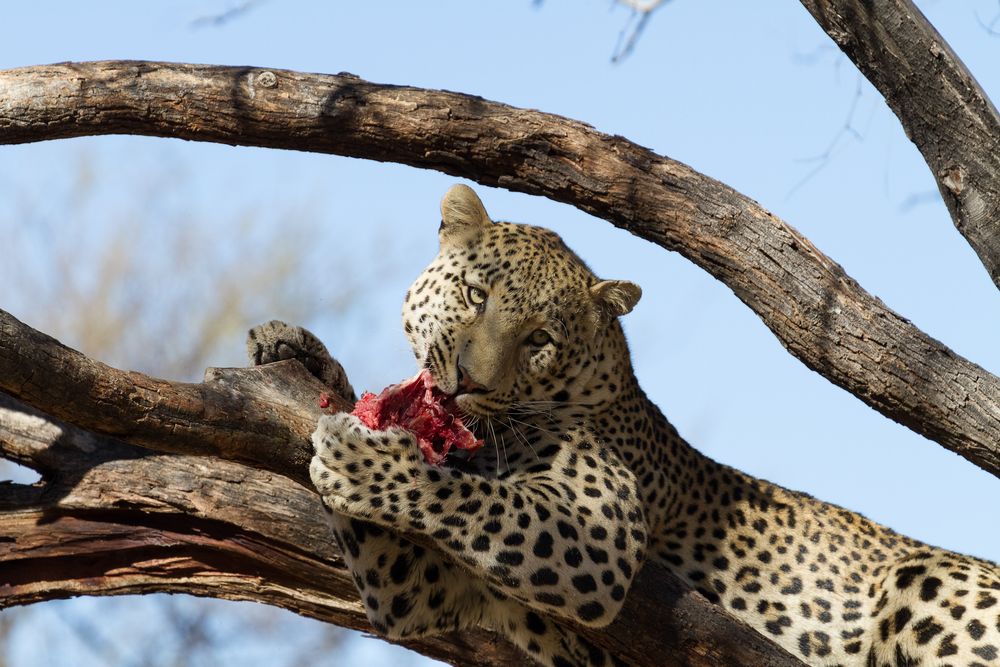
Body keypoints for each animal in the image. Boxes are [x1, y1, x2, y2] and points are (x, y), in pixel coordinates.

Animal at [250, 184, 1000, 667]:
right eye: (474, 295)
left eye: (539, 339)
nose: (469, 383)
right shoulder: (418, 587)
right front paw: (300, 353)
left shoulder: (600, 532)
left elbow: (474, 497)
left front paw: (365, 459)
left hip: (923, 578)